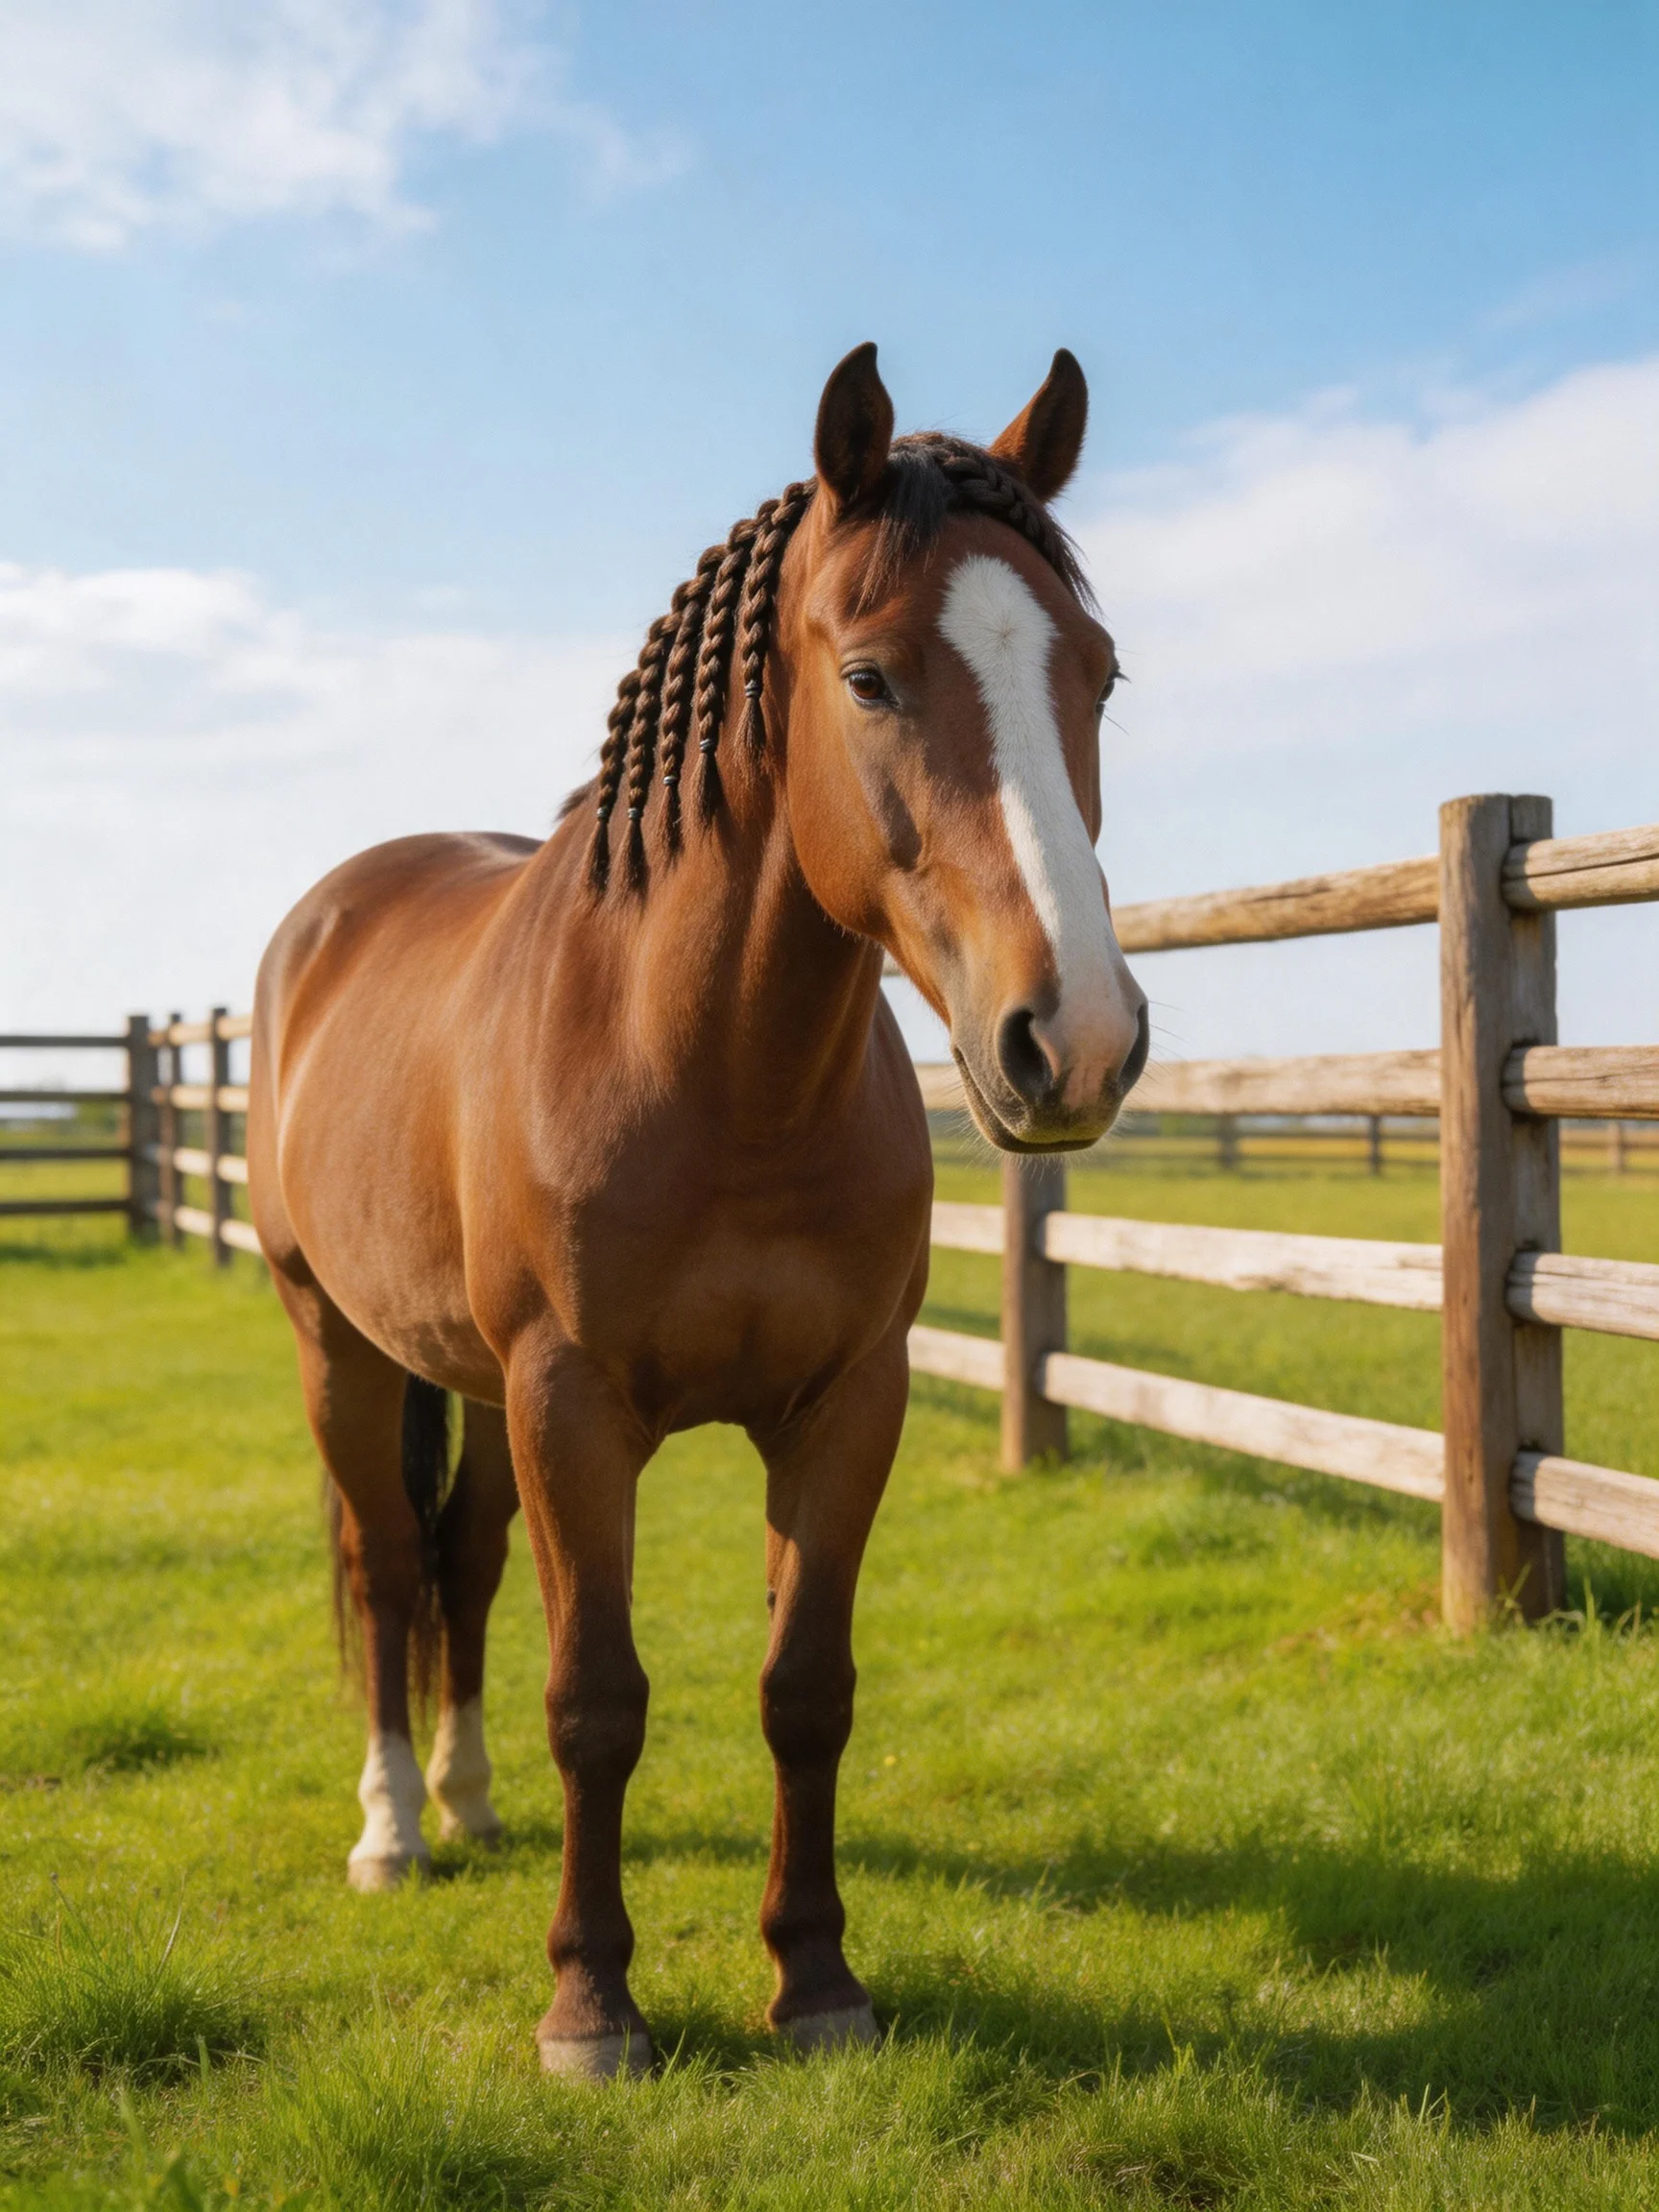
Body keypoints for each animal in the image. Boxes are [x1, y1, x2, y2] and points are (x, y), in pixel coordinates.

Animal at [246, 341, 1148, 2079]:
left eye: (1100, 672)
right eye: (867, 678)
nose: (1071, 1037)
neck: (713, 1073)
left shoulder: (842, 1403)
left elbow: (805, 1687)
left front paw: (815, 1981)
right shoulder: (573, 1403)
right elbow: (597, 1695)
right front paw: (591, 2006)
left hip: (473, 1385)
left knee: (463, 1564)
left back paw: (469, 1802)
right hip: (340, 1344)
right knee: (390, 1567)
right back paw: (395, 1828)